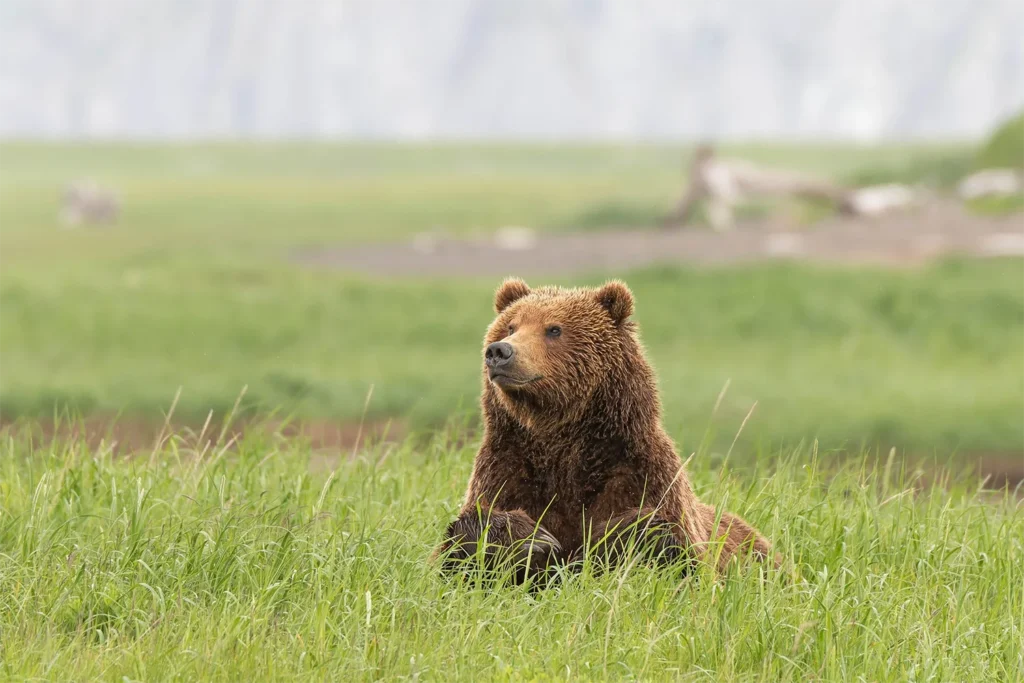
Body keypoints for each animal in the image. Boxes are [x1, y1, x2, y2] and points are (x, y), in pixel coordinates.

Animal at [433, 278, 778, 582]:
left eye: (554, 329)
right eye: (511, 326)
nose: (500, 352)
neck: (561, 441)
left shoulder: (639, 472)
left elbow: (682, 559)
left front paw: (611, 537)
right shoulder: (508, 467)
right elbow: (456, 558)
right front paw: (530, 538)